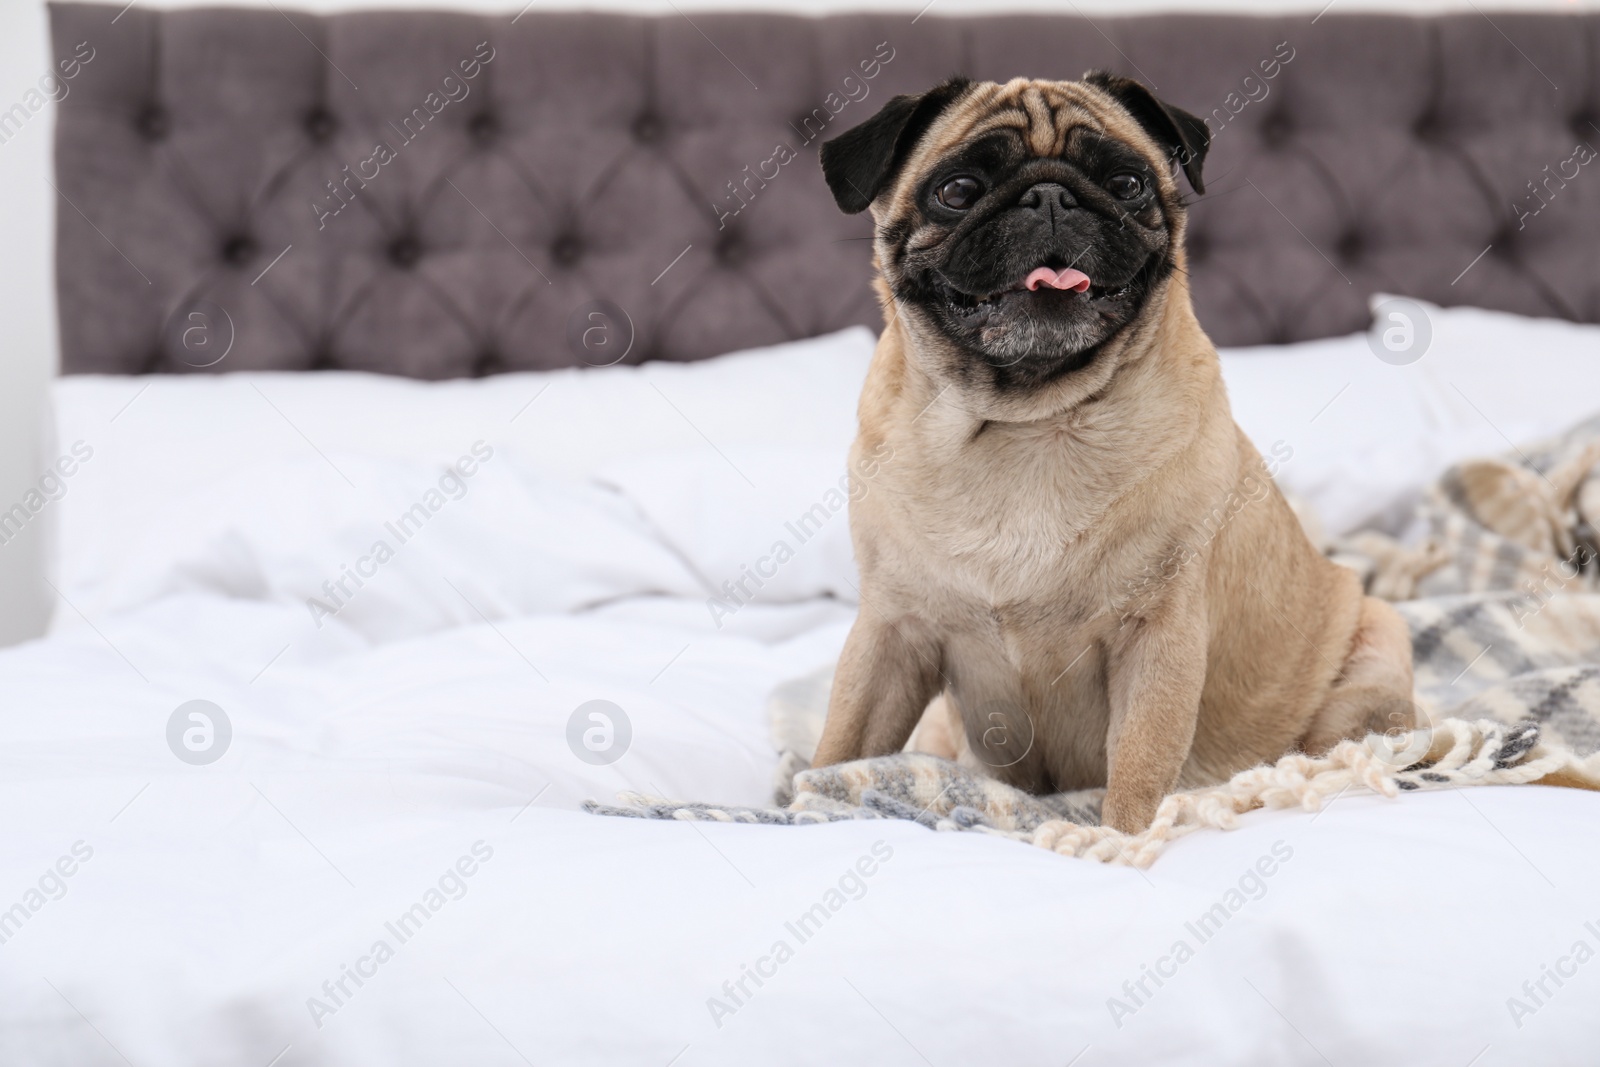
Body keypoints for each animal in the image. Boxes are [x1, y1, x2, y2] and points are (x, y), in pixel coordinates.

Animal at [812, 79, 1414, 838]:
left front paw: (1121, 840)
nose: (1049, 196)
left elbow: (1138, 768)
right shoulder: (891, 632)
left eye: (1128, 184)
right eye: (957, 189)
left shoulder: (1156, 636)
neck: (1029, 421)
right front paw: (805, 802)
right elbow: (843, 745)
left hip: (1371, 662)